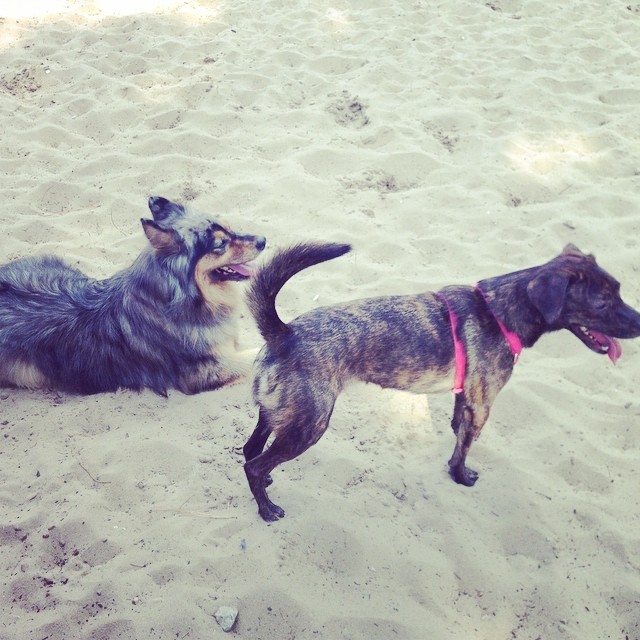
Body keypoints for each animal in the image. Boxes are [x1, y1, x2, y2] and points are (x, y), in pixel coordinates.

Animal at [242, 242, 640, 521]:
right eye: (603, 303)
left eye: (620, 290)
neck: (501, 310)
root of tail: (285, 333)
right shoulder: (482, 407)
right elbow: (462, 450)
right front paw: (461, 477)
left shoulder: (465, 397)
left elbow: (456, 429)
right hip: (310, 427)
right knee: (254, 464)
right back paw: (266, 509)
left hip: (276, 413)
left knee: (251, 450)